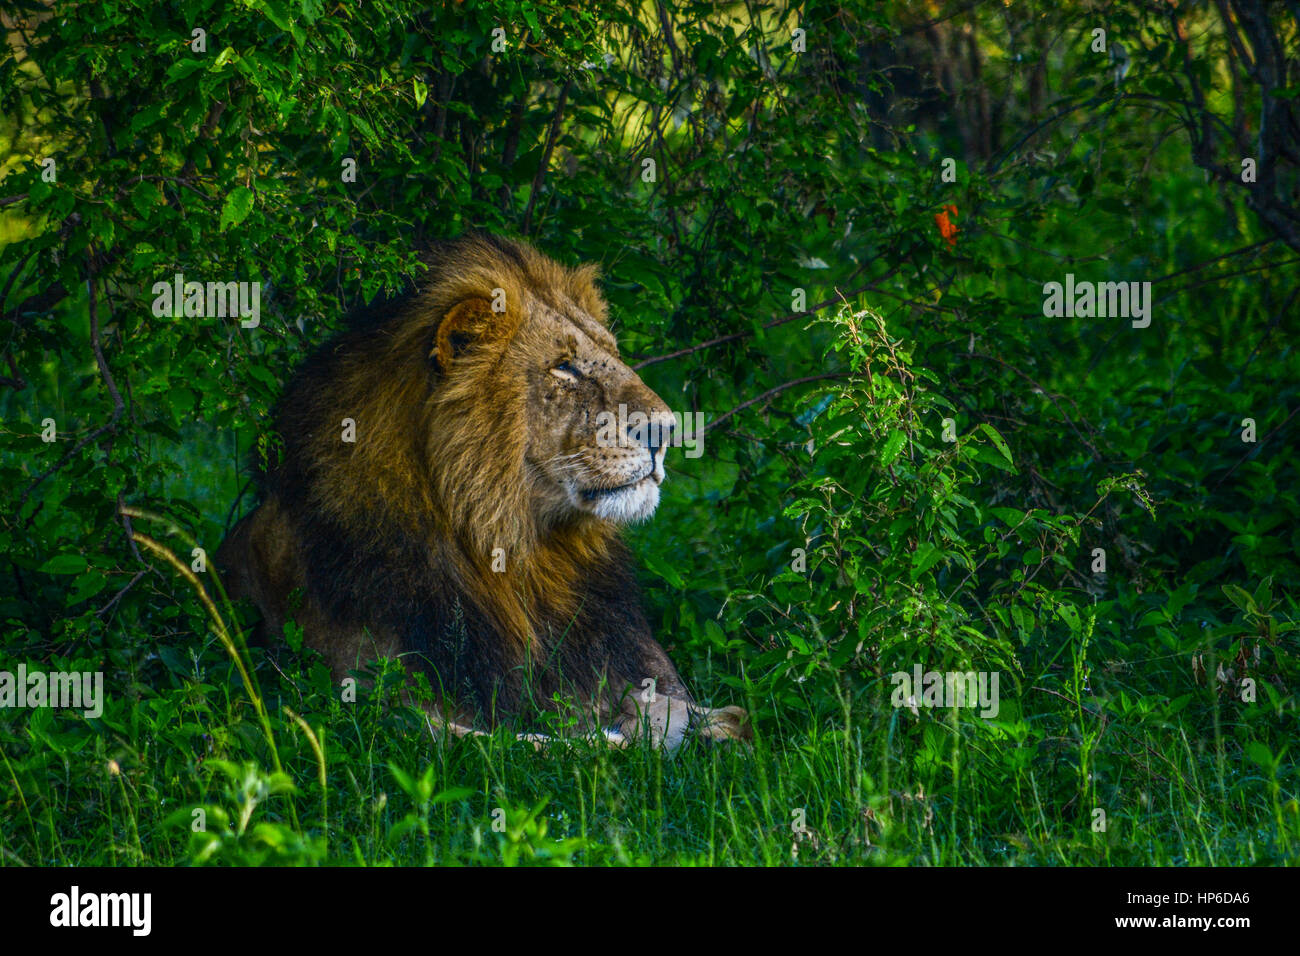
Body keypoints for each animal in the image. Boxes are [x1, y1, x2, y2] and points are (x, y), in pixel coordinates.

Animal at [215, 231, 754, 749]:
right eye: (565, 367)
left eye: (614, 353)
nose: (668, 431)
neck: (518, 555)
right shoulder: (372, 707)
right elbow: (521, 746)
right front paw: (619, 741)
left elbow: (720, 715)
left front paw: (695, 729)